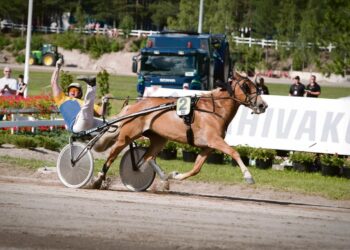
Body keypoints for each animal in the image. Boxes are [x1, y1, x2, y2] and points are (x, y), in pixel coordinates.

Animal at [91, 72, 266, 189]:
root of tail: (133, 107)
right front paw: (248, 176)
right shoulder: (214, 141)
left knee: (148, 157)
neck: (214, 110)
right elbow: (234, 152)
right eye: (246, 86)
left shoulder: (207, 147)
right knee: (112, 156)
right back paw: (98, 179)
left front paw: (176, 175)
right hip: (126, 137)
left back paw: (163, 178)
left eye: (256, 86)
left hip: (159, 139)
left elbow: (196, 168)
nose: (263, 105)